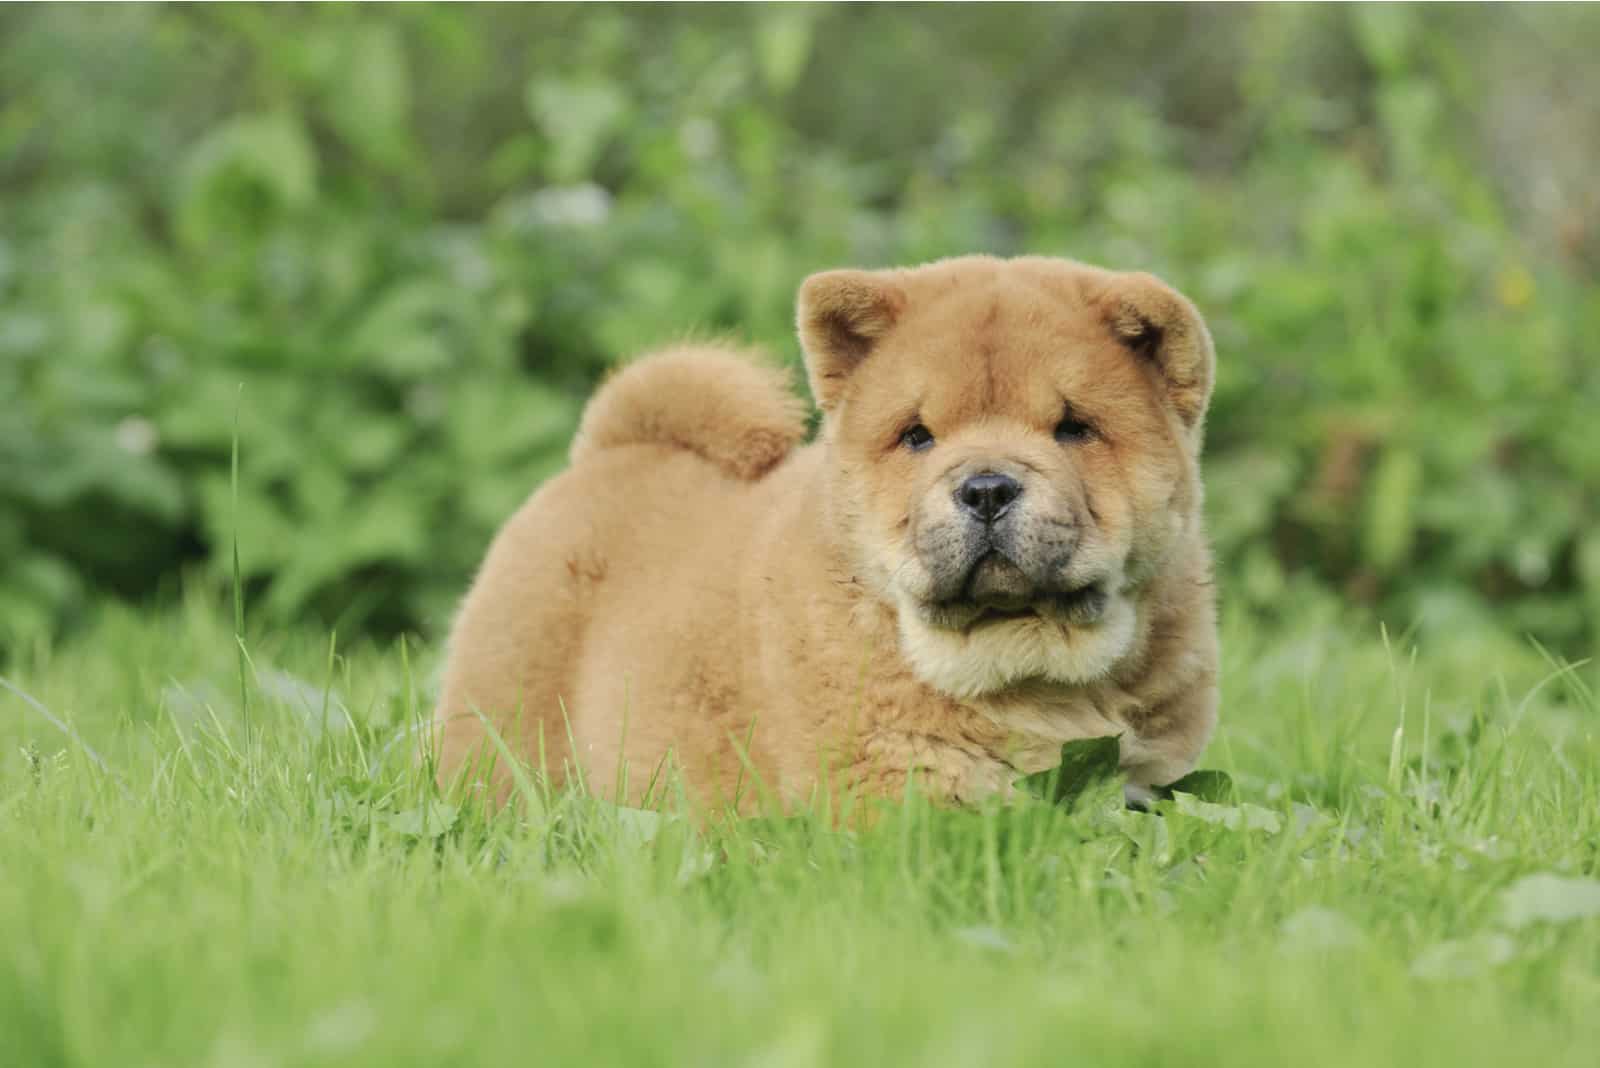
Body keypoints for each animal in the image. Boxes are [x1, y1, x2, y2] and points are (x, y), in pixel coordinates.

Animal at [432, 255, 1216, 808]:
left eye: (1074, 428)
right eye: (917, 436)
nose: (987, 488)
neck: (1030, 669)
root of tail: (613, 447)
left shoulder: (1151, 777)